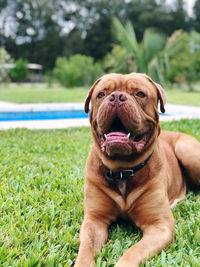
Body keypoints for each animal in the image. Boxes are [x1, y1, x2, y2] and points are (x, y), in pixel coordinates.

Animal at [74, 73, 200, 267]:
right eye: (101, 94)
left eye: (140, 94)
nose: (116, 97)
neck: (122, 170)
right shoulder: (94, 220)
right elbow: (85, 250)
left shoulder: (159, 225)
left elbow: (133, 251)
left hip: (185, 149)